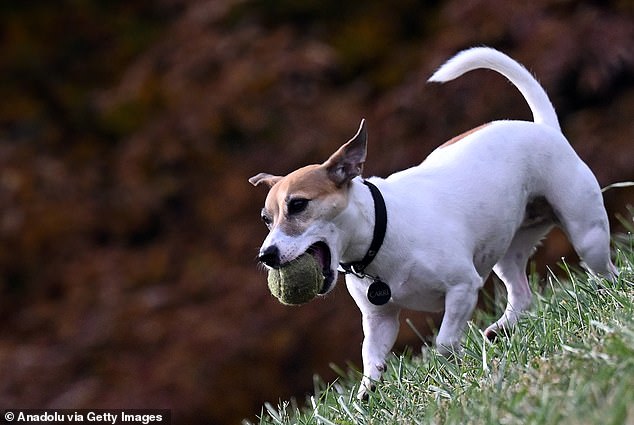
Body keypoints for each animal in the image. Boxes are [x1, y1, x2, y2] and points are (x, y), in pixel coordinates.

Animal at [249, 48, 616, 400]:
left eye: (298, 205)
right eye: (266, 219)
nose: (266, 256)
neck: (380, 231)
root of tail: (543, 127)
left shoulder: (462, 288)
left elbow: (444, 341)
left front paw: (452, 368)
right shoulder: (379, 319)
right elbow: (372, 357)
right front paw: (368, 392)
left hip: (586, 234)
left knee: (604, 269)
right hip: (508, 249)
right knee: (521, 293)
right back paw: (503, 327)